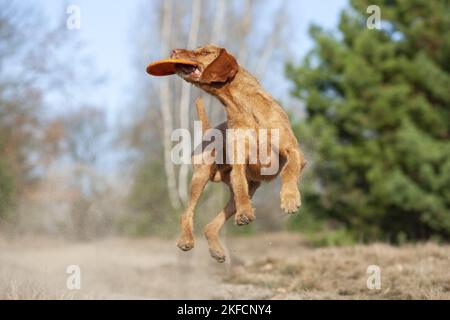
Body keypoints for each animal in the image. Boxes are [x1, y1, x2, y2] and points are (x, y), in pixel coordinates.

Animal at [172, 44, 306, 262]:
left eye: (205, 52)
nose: (173, 52)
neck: (241, 107)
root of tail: (209, 132)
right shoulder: (240, 164)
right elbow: (240, 185)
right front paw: (244, 212)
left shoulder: (293, 151)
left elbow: (289, 170)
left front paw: (290, 199)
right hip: (201, 176)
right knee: (188, 212)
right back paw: (187, 240)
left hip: (243, 189)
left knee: (210, 226)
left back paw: (217, 250)